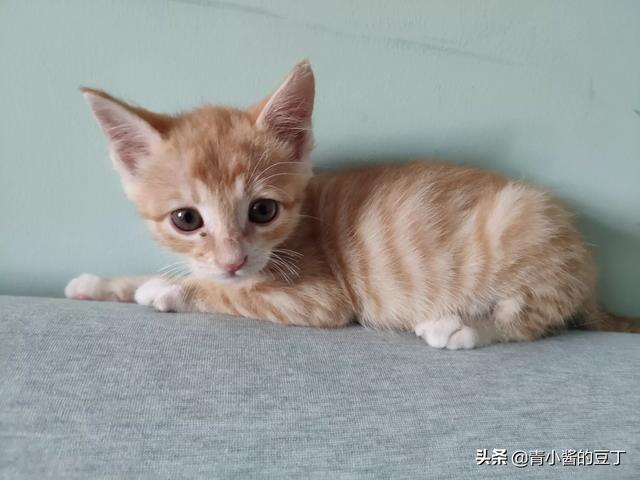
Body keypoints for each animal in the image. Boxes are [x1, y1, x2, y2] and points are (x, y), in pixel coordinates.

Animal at [65, 61, 639, 349]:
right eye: (186, 219)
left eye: (263, 211)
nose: (233, 260)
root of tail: (588, 278)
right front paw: (103, 283)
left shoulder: (320, 300)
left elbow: (230, 294)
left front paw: (169, 290)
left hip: (523, 227)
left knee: (532, 319)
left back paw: (460, 327)